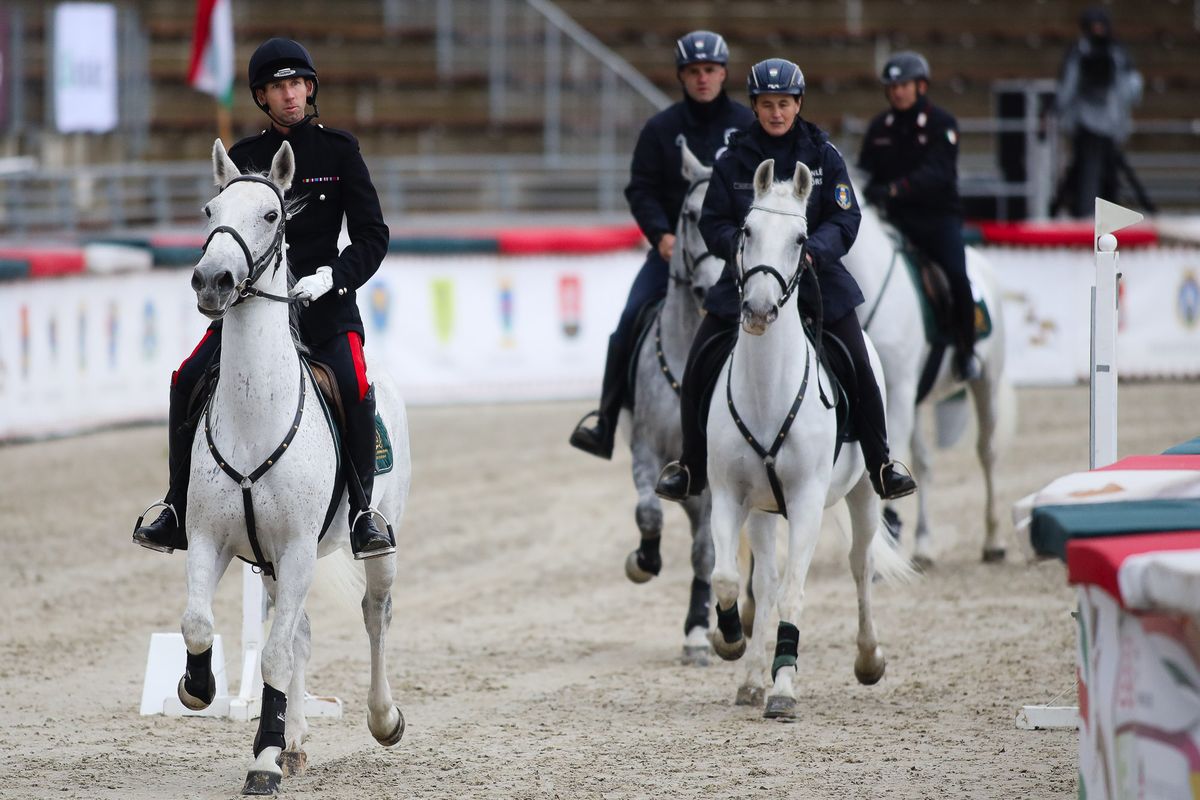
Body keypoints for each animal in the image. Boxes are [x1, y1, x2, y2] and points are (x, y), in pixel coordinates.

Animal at [175, 137, 405, 796]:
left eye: (272, 214)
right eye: (209, 210)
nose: (213, 280)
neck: (256, 412)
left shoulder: (300, 548)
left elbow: (274, 654)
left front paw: (262, 761)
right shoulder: (209, 538)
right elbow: (198, 623)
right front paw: (199, 688)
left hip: (375, 542)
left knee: (374, 615)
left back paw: (382, 720)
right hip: (272, 563)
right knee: (297, 631)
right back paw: (296, 740)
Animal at [700, 158, 907, 719]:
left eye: (800, 239)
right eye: (747, 231)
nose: (758, 310)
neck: (768, 390)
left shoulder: (808, 500)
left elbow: (795, 592)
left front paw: (785, 690)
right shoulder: (730, 496)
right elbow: (729, 579)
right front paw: (730, 639)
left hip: (863, 493)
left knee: (860, 564)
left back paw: (869, 660)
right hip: (763, 512)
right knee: (765, 582)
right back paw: (751, 677)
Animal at [840, 196, 1017, 566]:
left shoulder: (898, 393)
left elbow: (888, 454)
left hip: (986, 384)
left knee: (987, 452)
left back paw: (993, 540)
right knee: (924, 462)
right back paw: (923, 545)